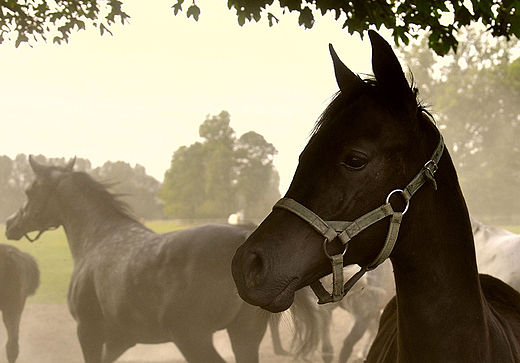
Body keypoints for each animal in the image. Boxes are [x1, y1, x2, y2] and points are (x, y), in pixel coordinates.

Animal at [4, 158, 316, 363]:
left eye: (30, 191)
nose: (10, 224)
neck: (99, 238)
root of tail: (242, 235)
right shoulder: (120, 339)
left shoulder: (88, 330)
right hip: (244, 338)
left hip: (192, 339)